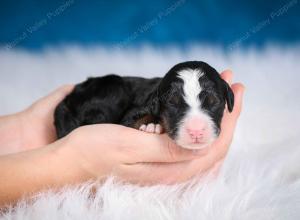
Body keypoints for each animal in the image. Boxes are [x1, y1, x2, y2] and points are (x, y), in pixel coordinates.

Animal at [54, 60, 234, 150]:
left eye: (213, 101)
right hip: (114, 87)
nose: (196, 131)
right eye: (172, 103)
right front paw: (151, 124)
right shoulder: (134, 111)